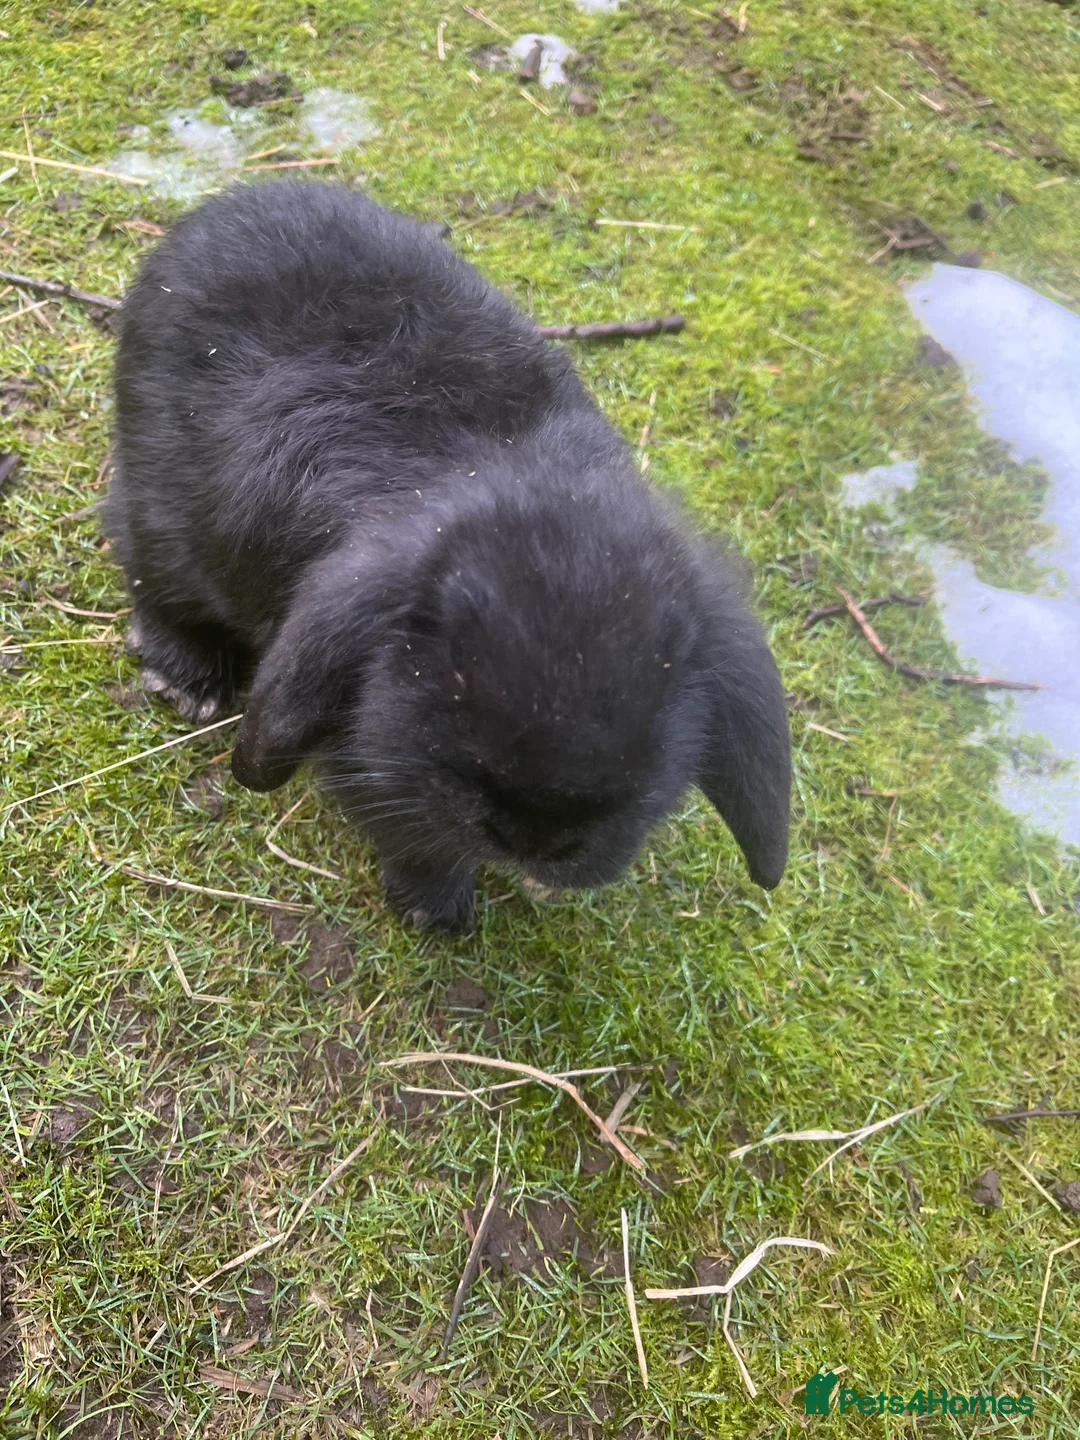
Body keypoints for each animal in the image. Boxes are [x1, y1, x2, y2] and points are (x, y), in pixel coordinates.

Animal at [107, 180, 790, 933]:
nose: (535, 838)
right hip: (161, 511)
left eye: (667, 697)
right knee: (144, 565)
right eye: (442, 653)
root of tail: (227, 205)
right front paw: (436, 911)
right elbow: (413, 835)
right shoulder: (370, 754)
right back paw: (188, 679)